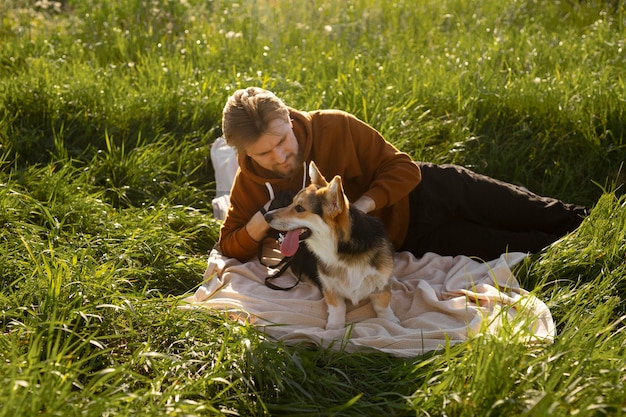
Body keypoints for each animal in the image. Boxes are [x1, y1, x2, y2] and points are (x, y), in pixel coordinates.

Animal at [262, 161, 398, 330]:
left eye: (299, 208)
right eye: (291, 203)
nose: (266, 216)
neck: (342, 250)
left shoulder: (381, 283)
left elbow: (382, 304)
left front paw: (390, 321)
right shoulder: (329, 288)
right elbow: (337, 307)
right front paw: (335, 327)